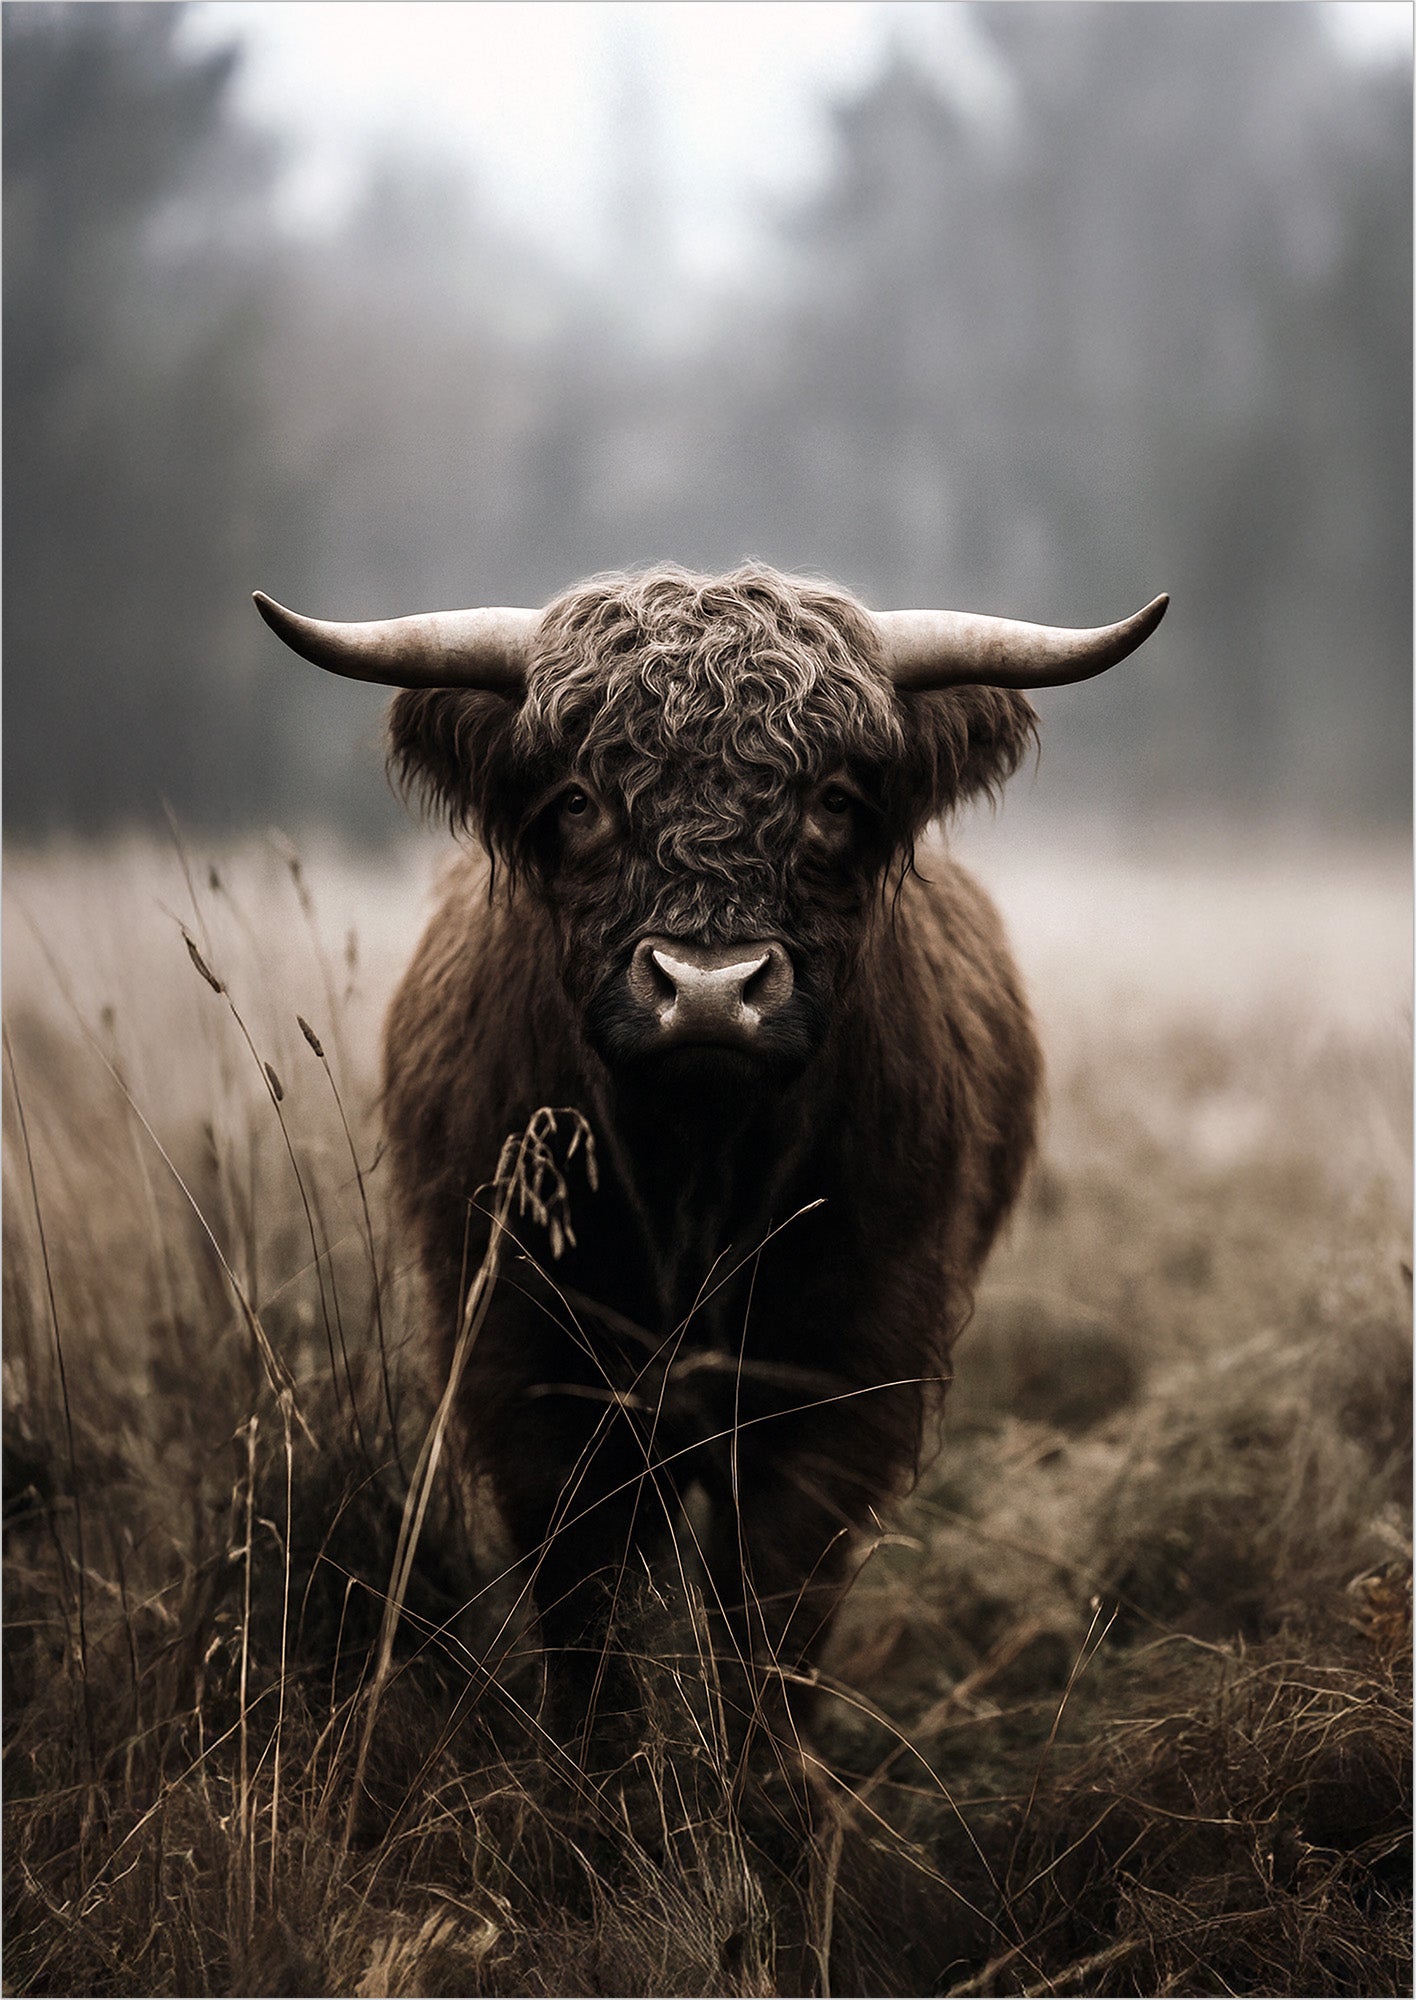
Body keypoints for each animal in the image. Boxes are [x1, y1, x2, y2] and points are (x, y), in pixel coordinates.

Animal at [253, 562, 1166, 1778]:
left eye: (835, 799)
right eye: (580, 800)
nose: (708, 989)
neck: (691, 1168)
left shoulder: (839, 1378)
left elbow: (771, 1617)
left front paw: (767, 1799)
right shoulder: (523, 1374)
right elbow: (585, 1614)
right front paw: (593, 1798)